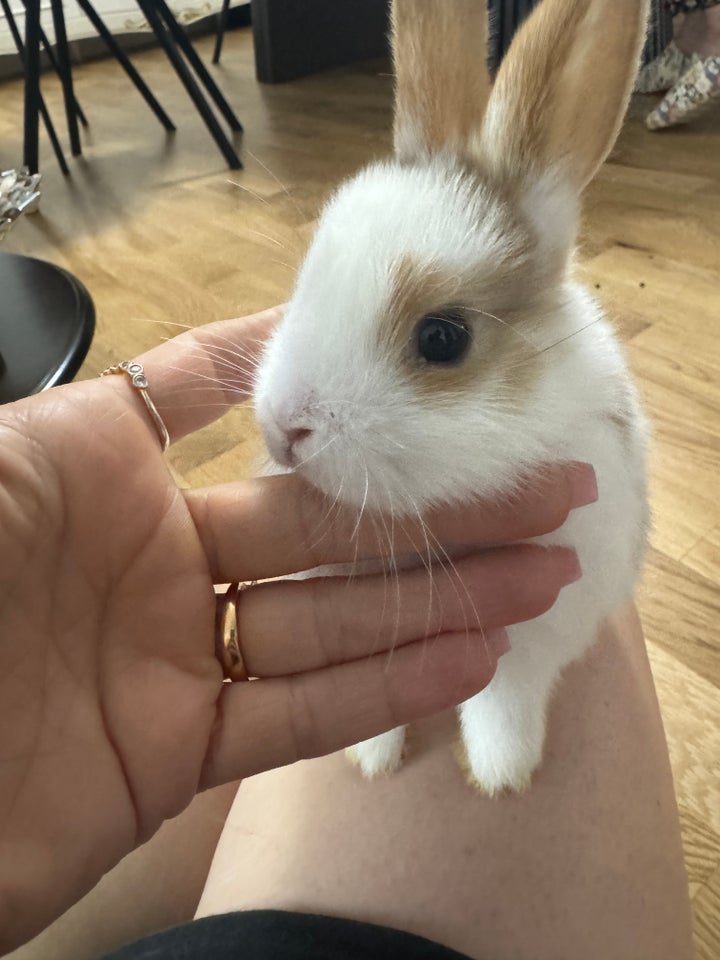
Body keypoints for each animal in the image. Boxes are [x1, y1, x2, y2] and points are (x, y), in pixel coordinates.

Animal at [252, 0, 652, 796]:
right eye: (309, 274)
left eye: (442, 339)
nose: (284, 430)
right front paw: (373, 760)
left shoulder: (543, 631)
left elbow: (506, 699)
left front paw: (502, 774)